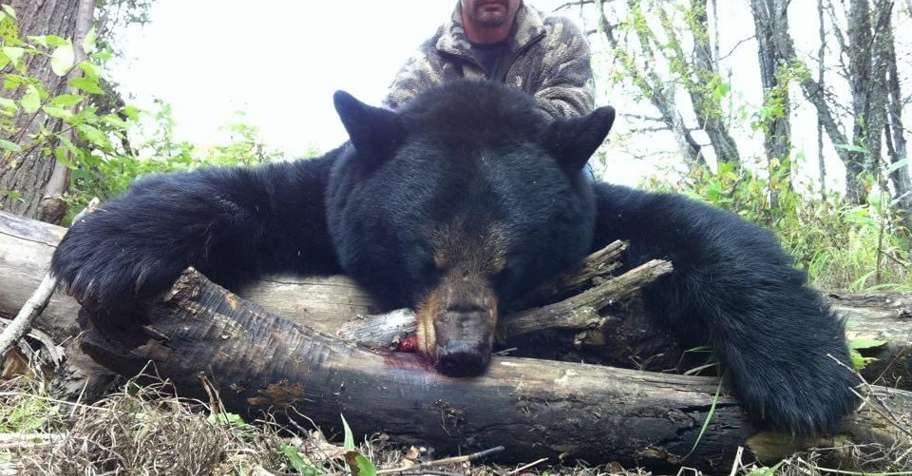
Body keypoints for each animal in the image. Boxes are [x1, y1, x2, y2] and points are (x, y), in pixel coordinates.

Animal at [50, 79, 858, 436]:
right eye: (424, 257)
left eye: (510, 263)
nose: (464, 352)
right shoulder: (331, 198)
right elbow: (255, 193)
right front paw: (107, 245)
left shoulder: (596, 211)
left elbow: (693, 228)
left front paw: (807, 374)